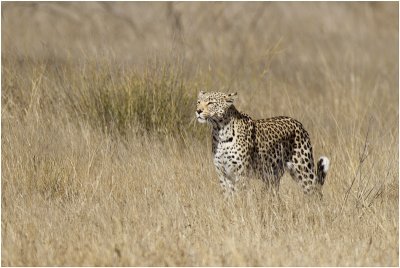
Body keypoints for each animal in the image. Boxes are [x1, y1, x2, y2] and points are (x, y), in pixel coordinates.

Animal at [195, 91, 330, 198]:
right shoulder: (222, 173)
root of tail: (299, 124)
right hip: (272, 175)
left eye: (210, 103)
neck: (220, 131)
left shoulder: (240, 173)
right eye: (198, 102)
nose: (198, 111)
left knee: (315, 192)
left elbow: (239, 195)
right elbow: (228, 195)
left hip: (303, 170)